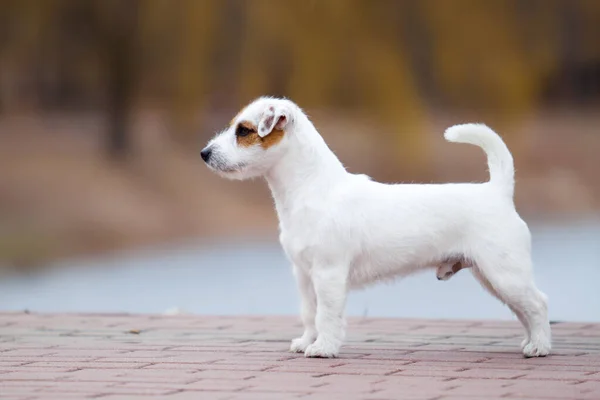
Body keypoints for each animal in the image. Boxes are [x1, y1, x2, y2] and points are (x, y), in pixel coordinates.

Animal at [203, 97, 552, 360]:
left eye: (244, 130)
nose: (204, 153)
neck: (312, 188)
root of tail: (498, 191)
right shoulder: (303, 274)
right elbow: (308, 312)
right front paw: (306, 342)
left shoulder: (328, 274)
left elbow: (326, 314)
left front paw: (323, 348)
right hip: (493, 276)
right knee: (524, 311)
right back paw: (530, 343)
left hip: (505, 273)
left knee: (538, 304)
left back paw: (540, 347)